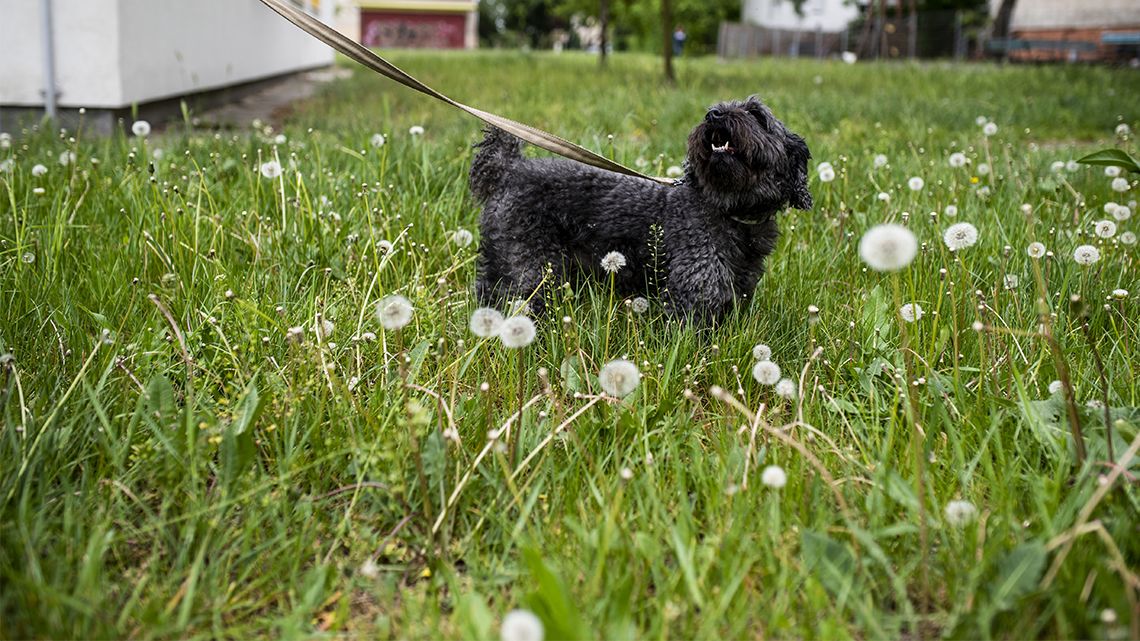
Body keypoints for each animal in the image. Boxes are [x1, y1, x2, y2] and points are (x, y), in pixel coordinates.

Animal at [465, 96, 811, 321]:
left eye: (756, 114)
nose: (713, 114)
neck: (729, 211)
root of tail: (510, 169)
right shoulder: (695, 290)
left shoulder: (738, 289)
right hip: (533, 268)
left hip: (500, 261)